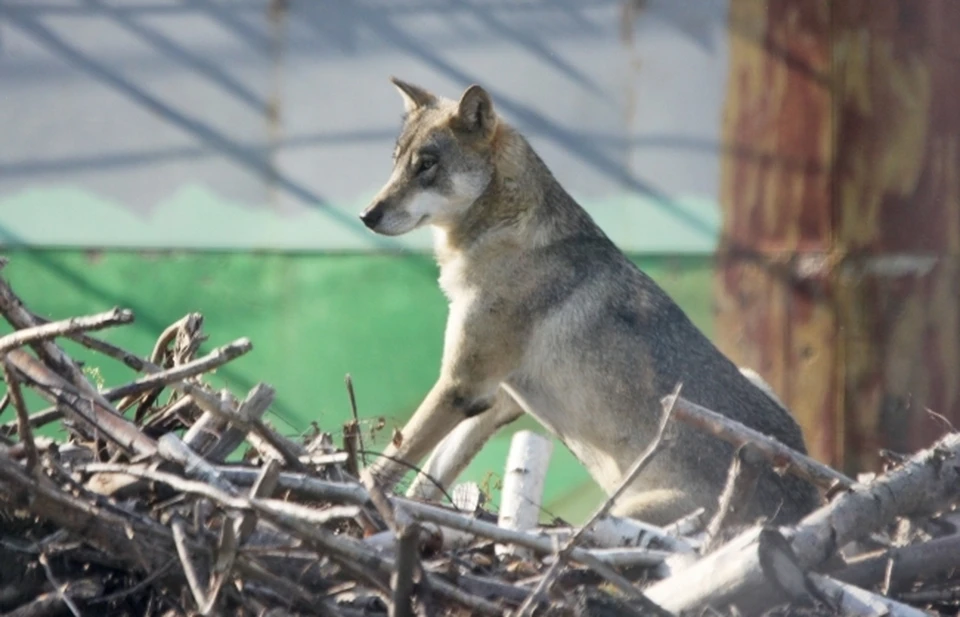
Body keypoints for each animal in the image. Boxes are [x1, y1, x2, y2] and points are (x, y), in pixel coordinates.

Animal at [358, 77, 816, 524]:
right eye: (397, 162)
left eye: (426, 165)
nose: (366, 215)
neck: (505, 235)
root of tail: (808, 510)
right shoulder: (494, 402)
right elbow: (427, 477)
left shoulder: (461, 386)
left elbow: (392, 459)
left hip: (618, 512)